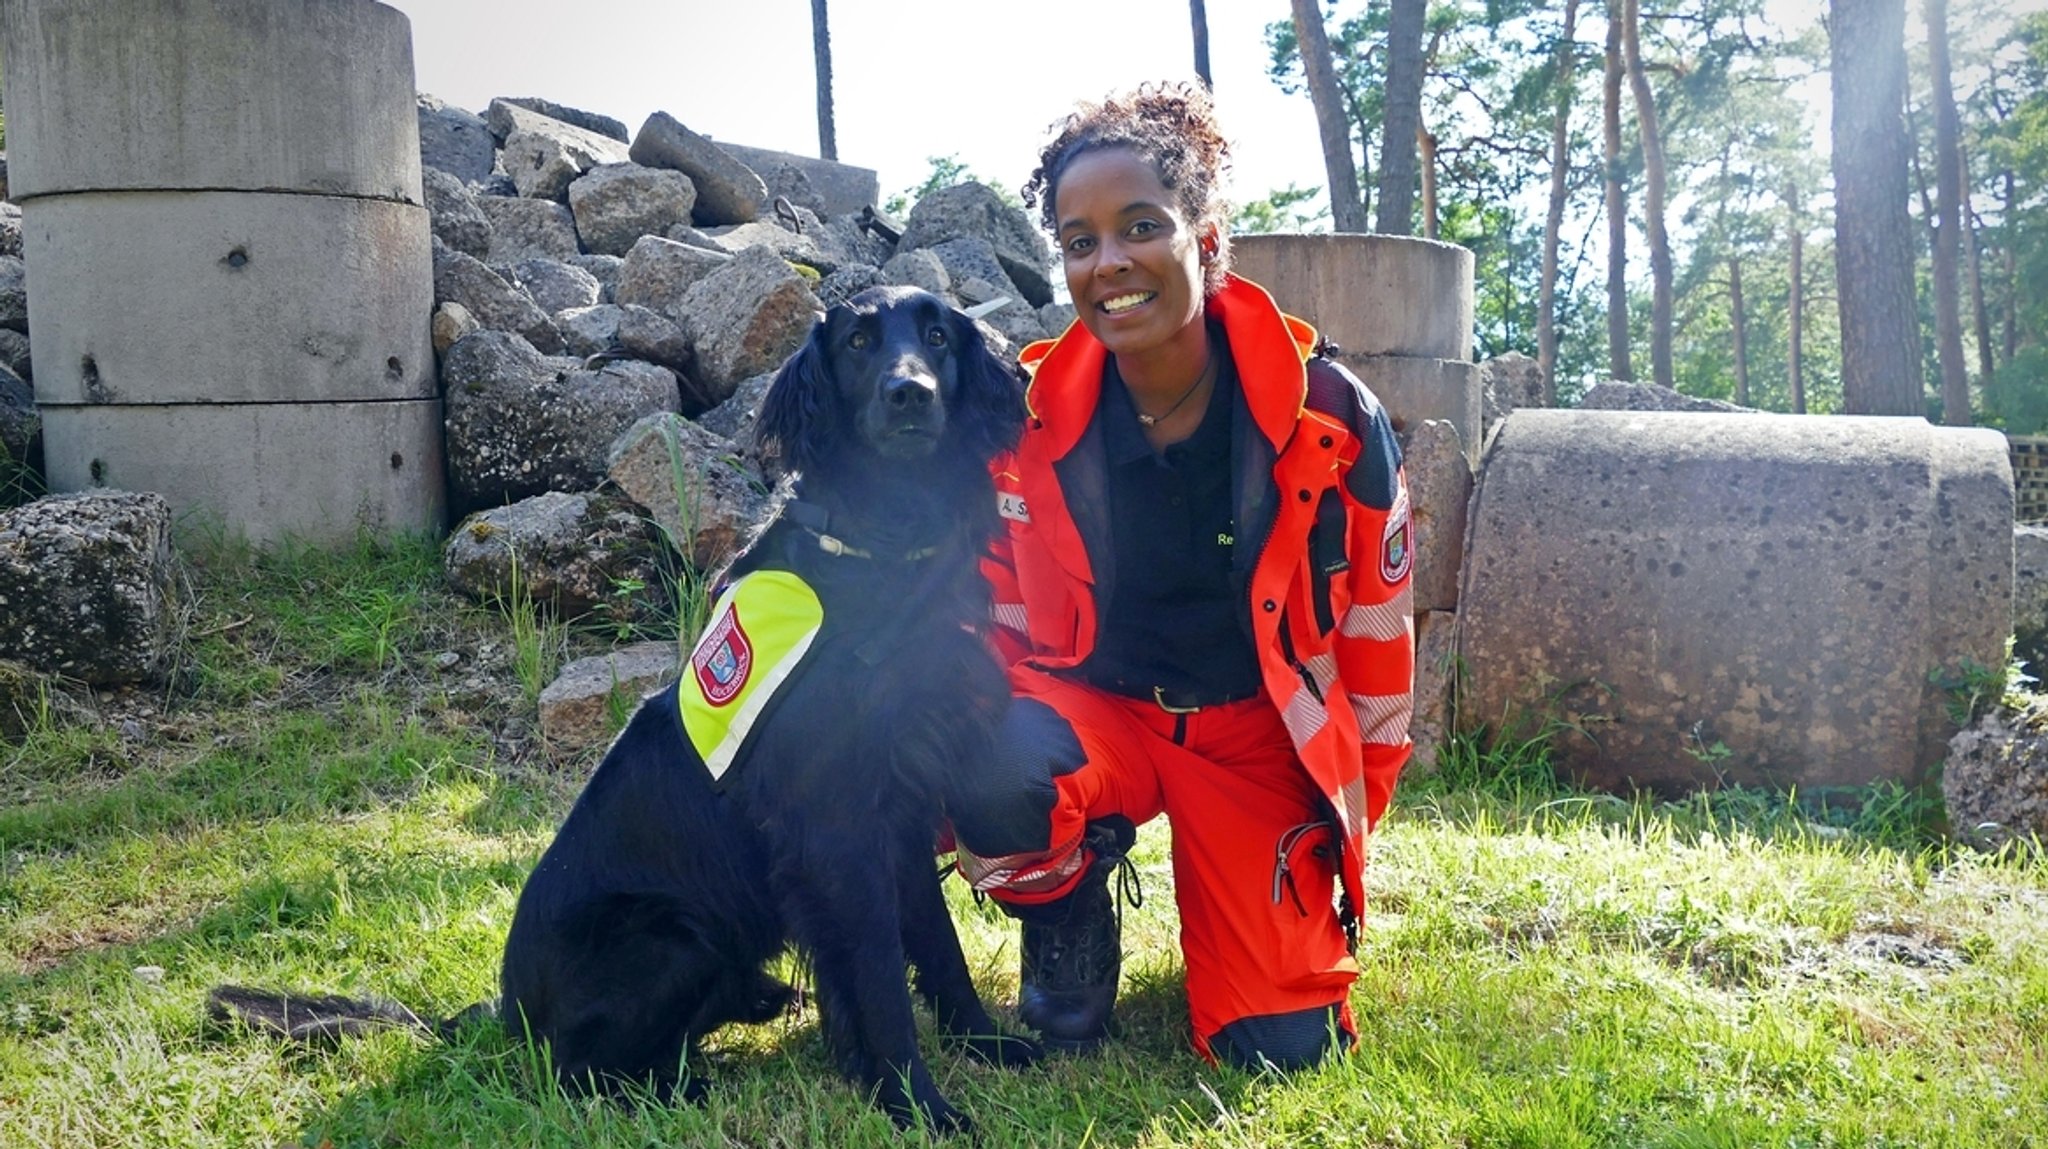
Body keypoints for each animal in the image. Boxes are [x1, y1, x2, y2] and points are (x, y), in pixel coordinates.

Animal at [497, 286, 1040, 1130]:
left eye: (939, 337)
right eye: (858, 342)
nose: (909, 393)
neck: (882, 546)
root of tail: (503, 1011)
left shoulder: (904, 809)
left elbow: (939, 945)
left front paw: (983, 1042)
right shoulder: (836, 830)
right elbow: (882, 982)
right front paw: (917, 1102)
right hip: (671, 939)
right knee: (577, 1070)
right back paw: (684, 1083)